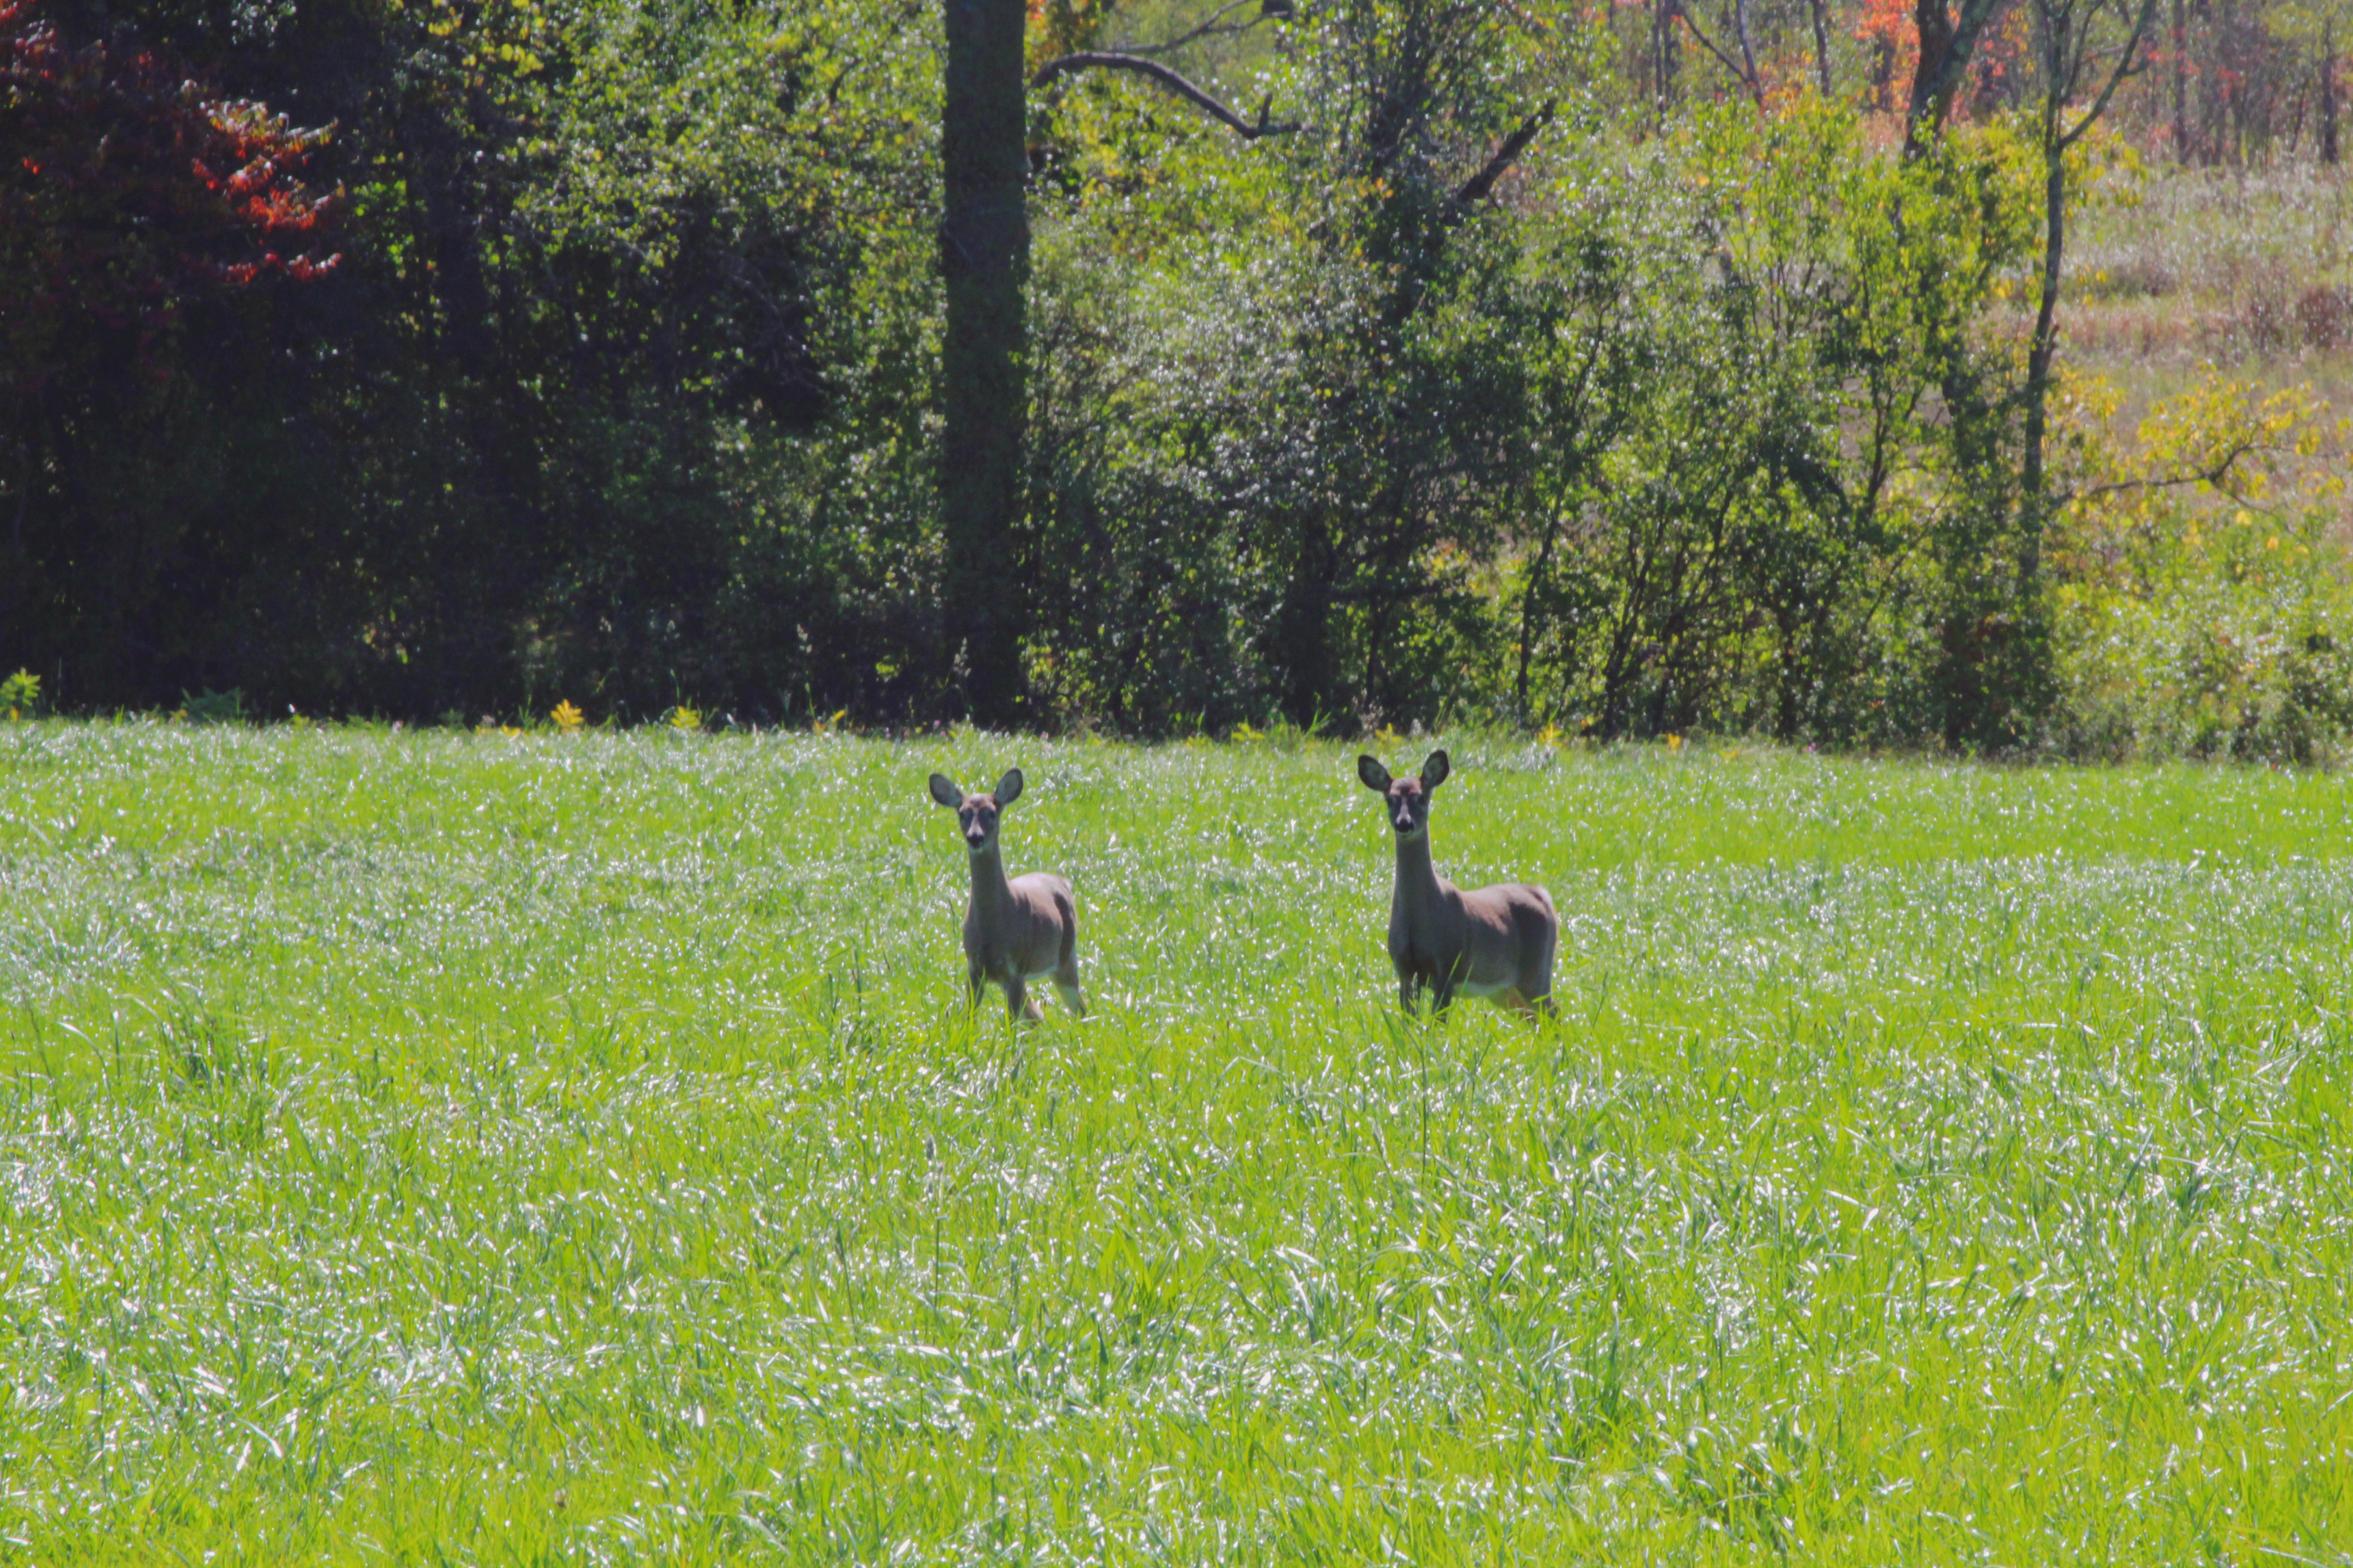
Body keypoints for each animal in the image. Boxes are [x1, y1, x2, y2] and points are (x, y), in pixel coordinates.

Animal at [927, 768, 1087, 1023]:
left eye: (991, 813)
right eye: (962, 813)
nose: (975, 837)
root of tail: (1063, 881)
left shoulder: (1015, 968)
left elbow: (1011, 1022)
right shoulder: (975, 967)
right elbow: (970, 1016)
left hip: (1065, 958)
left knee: (1080, 1008)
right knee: (1037, 1015)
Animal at [1358, 749, 1558, 1018]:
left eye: (1422, 798)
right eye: (1390, 800)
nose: (1404, 823)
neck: (1417, 919)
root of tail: (1541, 895)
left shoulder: (1447, 967)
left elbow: (1435, 1024)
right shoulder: (1403, 969)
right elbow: (1409, 1023)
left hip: (1536, 971)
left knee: (1554, 1014)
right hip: (1503, 990)